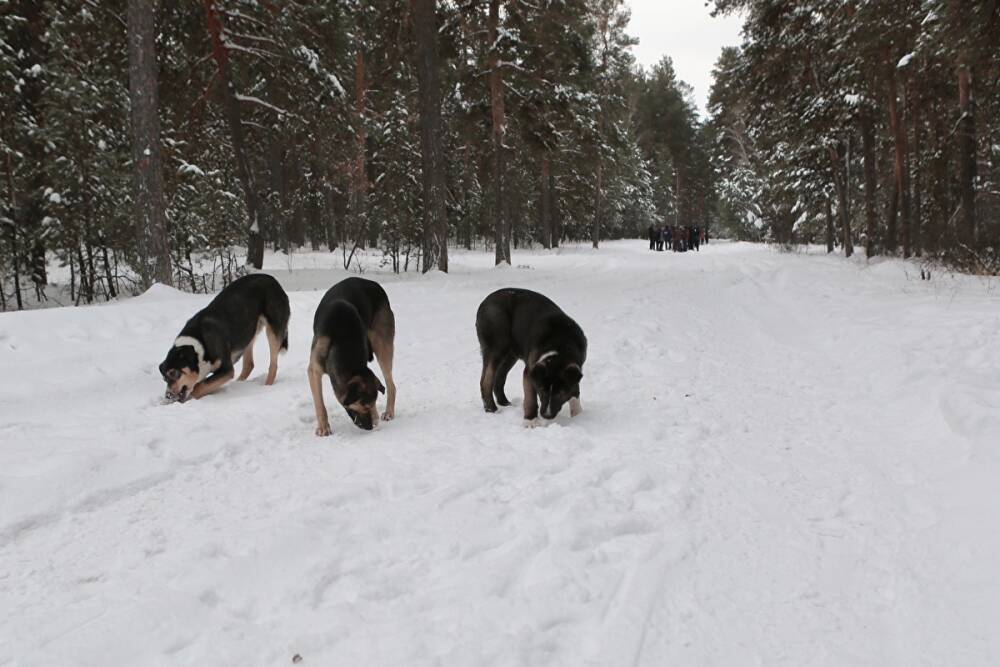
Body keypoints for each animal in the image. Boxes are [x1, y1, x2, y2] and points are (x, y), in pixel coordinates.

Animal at [157, 272, 290, 402]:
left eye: (174, 373)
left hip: (273, 330)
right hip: (248, 332)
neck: (200, 344)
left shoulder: (226, 370)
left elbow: (198, 387)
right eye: (164, 379)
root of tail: (273, 280)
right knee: (249, 365)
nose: (168, 396)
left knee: (273, 366)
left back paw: (267, 386)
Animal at [310, 276, 396, 436]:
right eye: (365, 406)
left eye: (373, 404)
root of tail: (373, 283)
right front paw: (324, 427)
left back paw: (389, 412)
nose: (371, 427)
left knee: (391, 384)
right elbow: (319, 403)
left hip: (383, 345)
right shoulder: (314, 370)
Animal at [476, 288, 584, 422]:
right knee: (486, 380)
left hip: (511, 355)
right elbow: (530, 398)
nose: (547, 416)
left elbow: (575, 390)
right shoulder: (529, 372)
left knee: (499, 377)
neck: (561, 344)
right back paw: (491, 409)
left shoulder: (575, 369)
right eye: (542, 390)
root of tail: (484, 302)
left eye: (561, 393)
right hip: (497, 348)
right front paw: (531, 421)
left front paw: (578, 415)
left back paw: (505, 403)